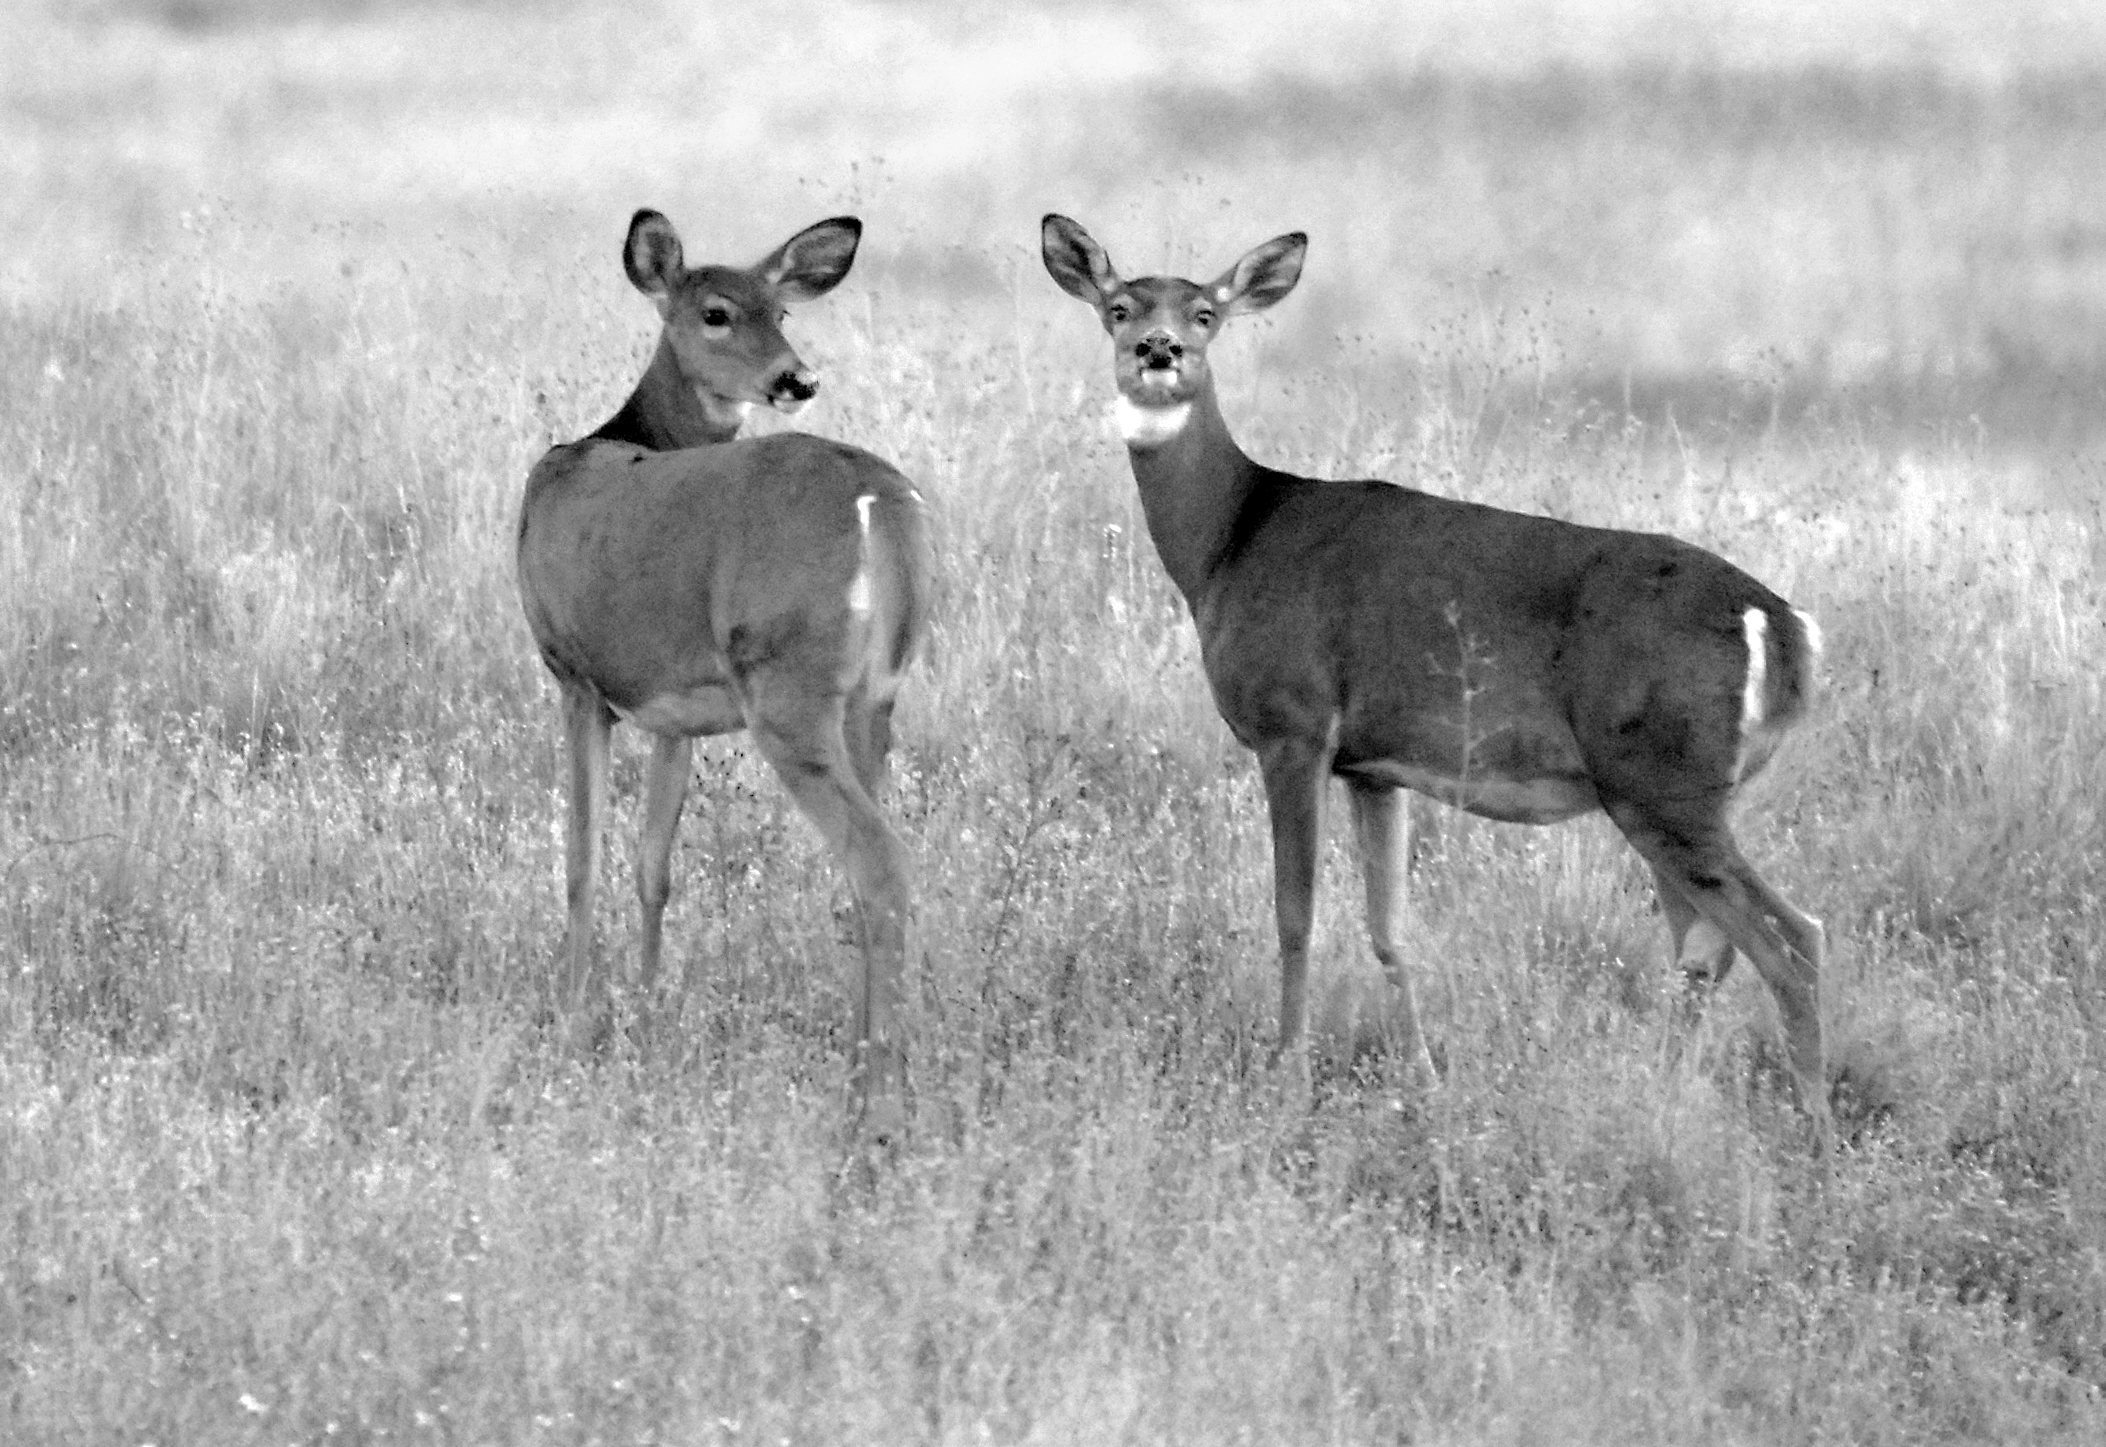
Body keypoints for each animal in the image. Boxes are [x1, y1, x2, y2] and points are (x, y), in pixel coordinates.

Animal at [518, 212, 930, 1145]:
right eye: (718, 311)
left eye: (780, 310)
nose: (797, 377)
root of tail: (877, 506)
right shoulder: (675, 711)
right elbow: (654, 867)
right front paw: (645, 1011)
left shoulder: (575, 673)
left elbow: (580, 858)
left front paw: (572, 1022)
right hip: (875, 698)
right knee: (864, 873)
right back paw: (865, 1076)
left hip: (788, 692)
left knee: (881, 861)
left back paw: (876, 1112)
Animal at [1044, 214, 1836, 1137]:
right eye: (1118, 306)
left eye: (1206, 312)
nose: (1159, 349)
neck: (1230, 542)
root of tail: (1781, 624)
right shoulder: (1374, 765)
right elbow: (1390, 926)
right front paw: (1423, 1080)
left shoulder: (1293, 722)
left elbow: (1294, 915)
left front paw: (1286, 1076)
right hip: (1667, 791)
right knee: (1706, 945)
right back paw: (1661, 1098)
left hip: (1664, 779)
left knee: (1789, 937)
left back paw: (1813, 1129)